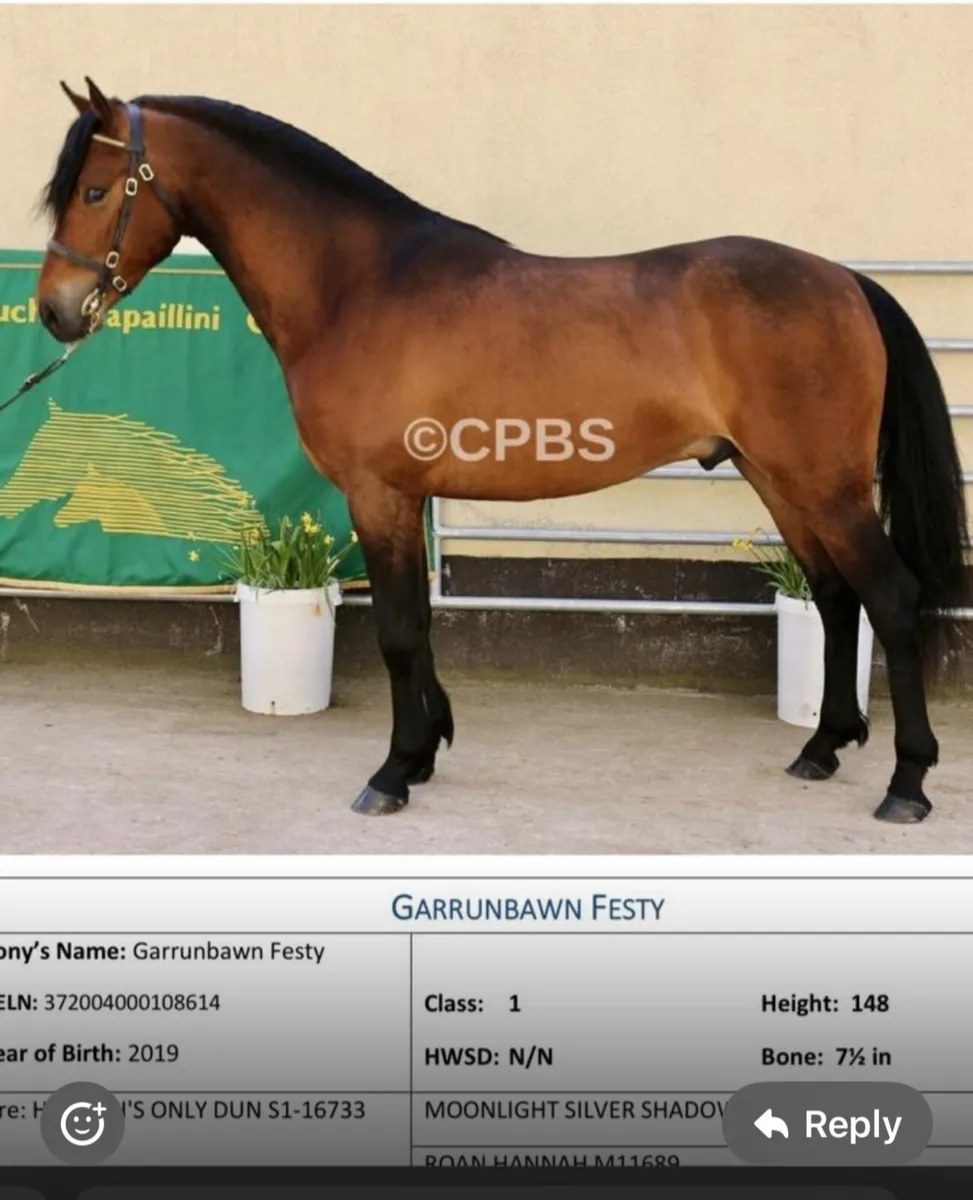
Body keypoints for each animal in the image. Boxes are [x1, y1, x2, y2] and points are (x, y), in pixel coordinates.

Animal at [35, 78, 969, 824]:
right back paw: (821, 749)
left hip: (823, 484)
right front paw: (425, 750)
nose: (54, 311)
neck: (359, 285)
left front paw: (392, 772)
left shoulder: (378, 493)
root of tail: (842, 279)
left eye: (95, 189)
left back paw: (907, 783)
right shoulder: (403, 497)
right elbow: (416, 626)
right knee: (836, 596)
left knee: (889, 597)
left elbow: (399, 631)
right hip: (779, 477)